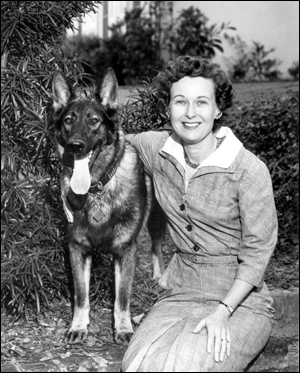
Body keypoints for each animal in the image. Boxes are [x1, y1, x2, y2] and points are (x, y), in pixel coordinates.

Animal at [50, 68, 165, 344]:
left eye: (93, 121)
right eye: (68, 120)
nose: (76, 145)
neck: (97, 189)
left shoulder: (125, 250)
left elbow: (121, 298)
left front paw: (123, 329)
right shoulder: (78, 248)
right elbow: (81, 295)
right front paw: (78, 326)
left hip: (156, 219)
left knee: (156, 244)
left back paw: (159, 277)